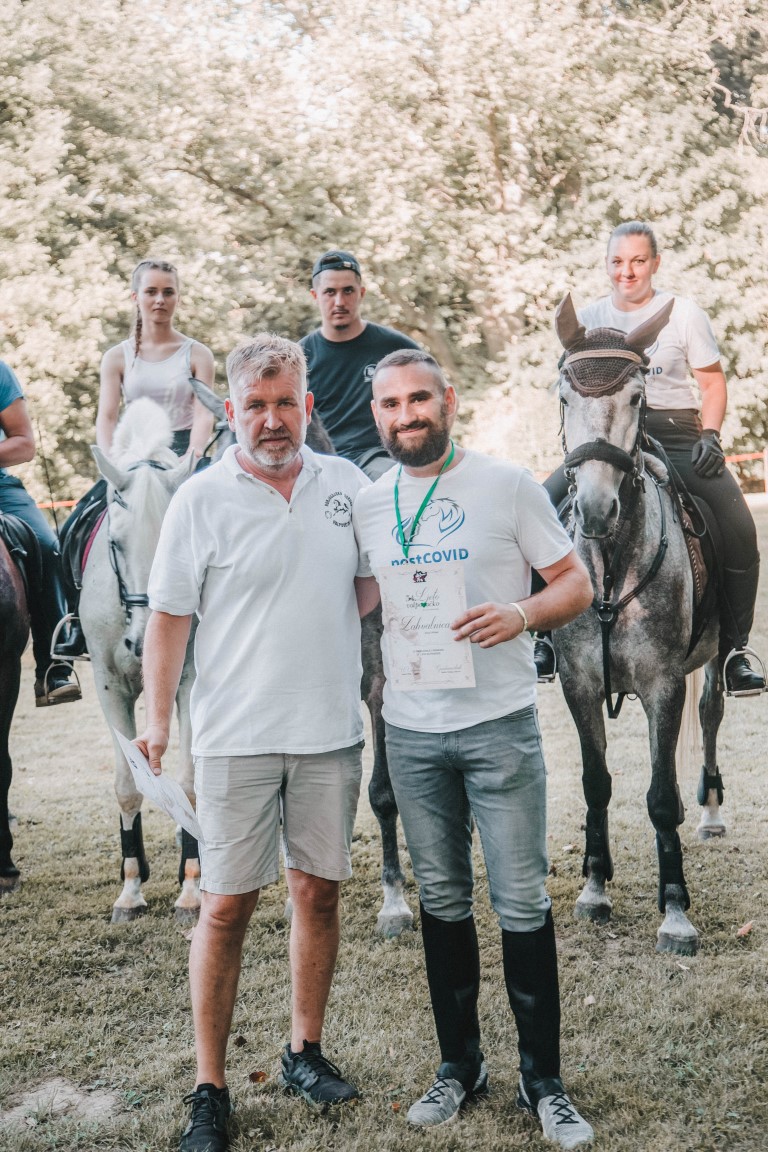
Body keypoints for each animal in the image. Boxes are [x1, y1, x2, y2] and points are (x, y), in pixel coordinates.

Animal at [551, 294, 726, 956]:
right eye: (564, 397)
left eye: (635, 396)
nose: (597, 509)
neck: (610, 564)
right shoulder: (578, 684)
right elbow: (596, 783)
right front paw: (594, 888)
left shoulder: (662, 685)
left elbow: (659, 797)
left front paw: (674, 911)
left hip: (716, 657)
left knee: (711, 714)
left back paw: (712, 813)